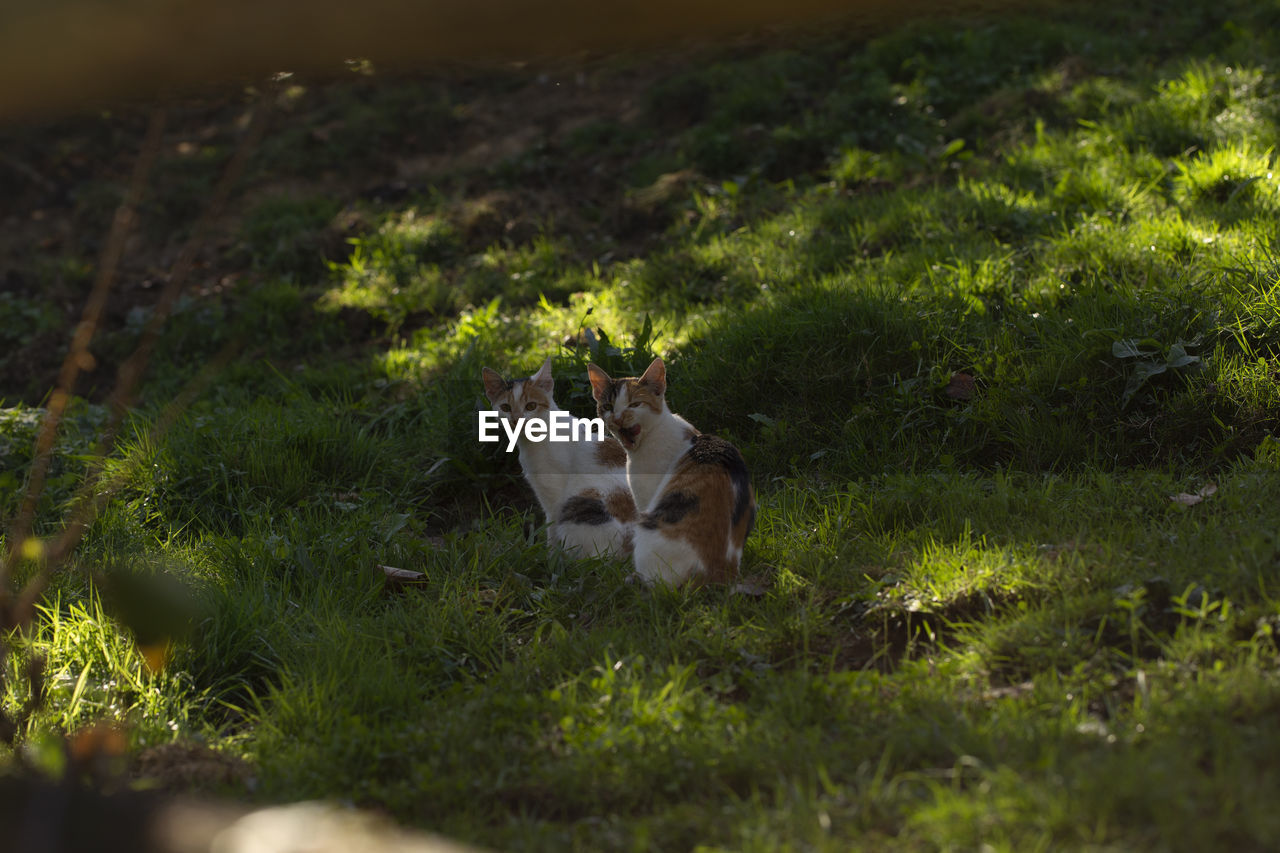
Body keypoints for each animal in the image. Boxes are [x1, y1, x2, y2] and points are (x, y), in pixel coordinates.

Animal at [481, 353, 637, 558]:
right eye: (505, 407)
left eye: (531, 406)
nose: (516, 420)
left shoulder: (554, 496)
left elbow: (552, 529)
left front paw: (550, 558)